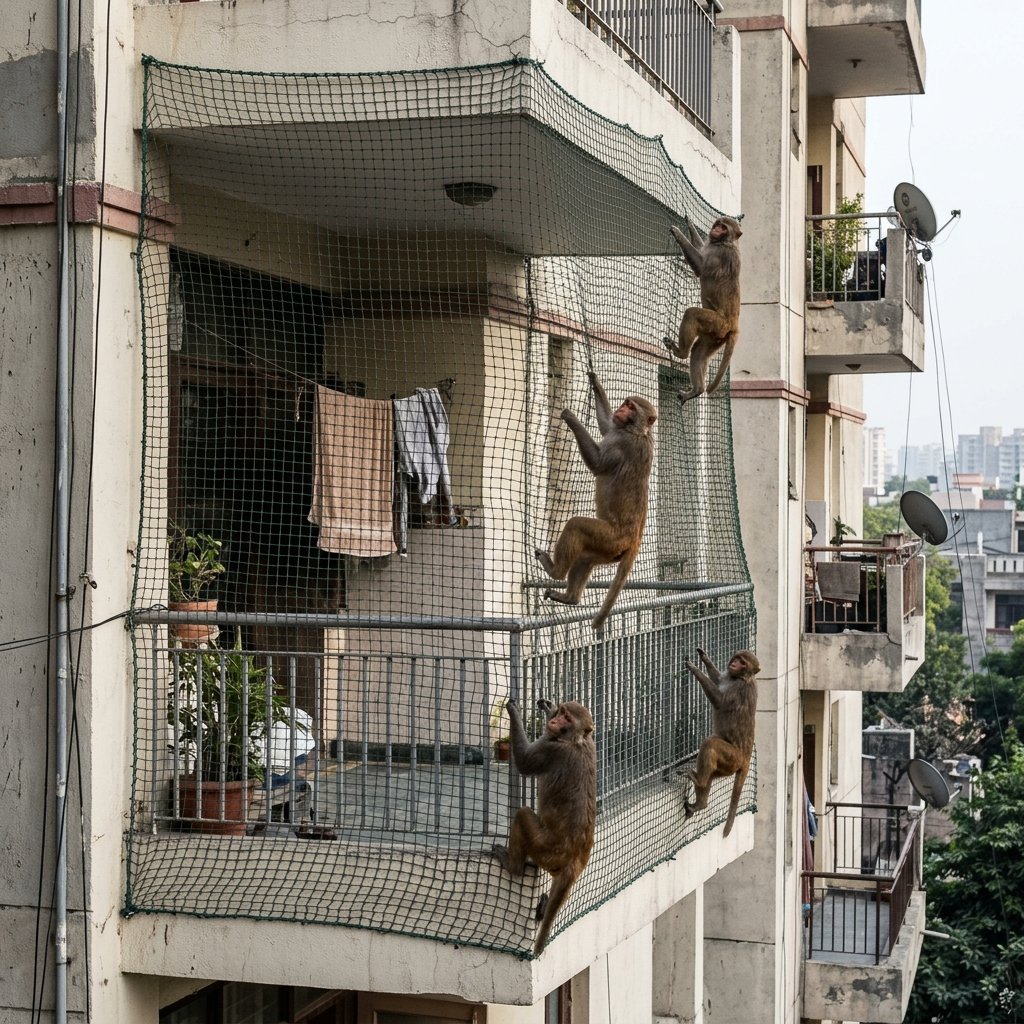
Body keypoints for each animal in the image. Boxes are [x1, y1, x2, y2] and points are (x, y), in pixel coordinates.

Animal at [493, 697, 597, 954]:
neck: (577, 741)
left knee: (522, 815)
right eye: (562, 713)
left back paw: (513, 866)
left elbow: (524, 762)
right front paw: (546, 709)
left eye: (567, 719)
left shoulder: (552, 751)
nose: (555, 720)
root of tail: (574, 862)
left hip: (545, 849)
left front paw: (514, 711)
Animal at [535, 371, 657, 630]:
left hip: (610, 537)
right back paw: (570, 597)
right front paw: (594, 381)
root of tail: (634, 539)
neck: (638, 432)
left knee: (576, 526)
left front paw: (571, 418)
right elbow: (606, 425)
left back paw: (555, 571)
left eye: (631, 407)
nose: (621, 409)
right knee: (585, 558)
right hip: (610, 549)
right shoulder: (618, 430)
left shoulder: (621, 443)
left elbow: (598, 463)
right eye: (625, 403)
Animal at [664, 215, 742, 405]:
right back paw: (697, 390)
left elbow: (701, 267)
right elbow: (700, 248)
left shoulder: (719, 254)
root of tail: (733, 326)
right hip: (716, 336)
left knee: (691, 314)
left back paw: (681, 352)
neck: (724, 242)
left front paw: (678, 234)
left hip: (717, 323)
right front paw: (690, 224)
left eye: (724, 227)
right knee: (698, 353)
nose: (715, 230)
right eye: (718, 224)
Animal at [683, 648, 760, 837]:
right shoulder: (728, 678)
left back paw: (700, 781)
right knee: (711, 768)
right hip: (728, 767)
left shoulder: (738, 690)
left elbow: (719, 701)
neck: (740, 678)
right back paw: (701, 802)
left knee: (710, 744)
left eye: (743, 663)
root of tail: (745, 759)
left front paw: (695, 669)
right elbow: (718, 679)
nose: (735, 664)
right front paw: (704, 658)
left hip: (733, 758)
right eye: (738, 659)